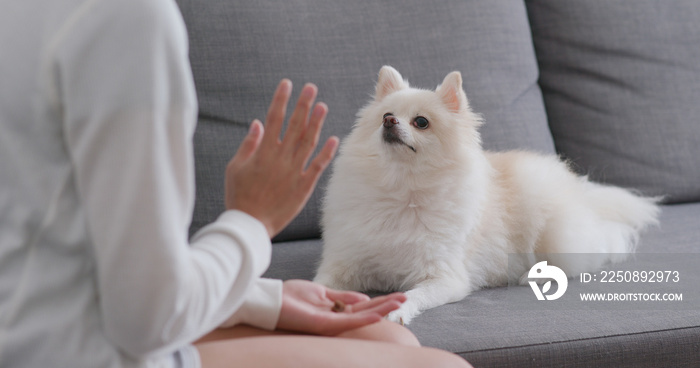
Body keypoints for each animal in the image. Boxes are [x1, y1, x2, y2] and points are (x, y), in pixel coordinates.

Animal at [314, 66, 660, 324]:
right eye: (385, 114)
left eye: (421, 122)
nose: (388, 121)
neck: (401, 189)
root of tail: (583, 193)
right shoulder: (344, 263)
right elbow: (318, 284)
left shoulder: (445, 278)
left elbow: (412, 294)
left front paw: (395, 311)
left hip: (555, 235)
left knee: (581, 260)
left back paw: (532, 276)